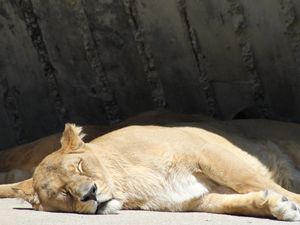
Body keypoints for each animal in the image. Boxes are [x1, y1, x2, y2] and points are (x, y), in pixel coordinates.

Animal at [0, 118, 300, 221]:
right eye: (63, 193)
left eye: (80, 166)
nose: (90, 194)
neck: (127, 182)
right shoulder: (194, 199)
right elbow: (237, 202)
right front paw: (275, 207)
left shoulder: (206, 151)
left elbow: (251, 181)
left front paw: (289, 203)